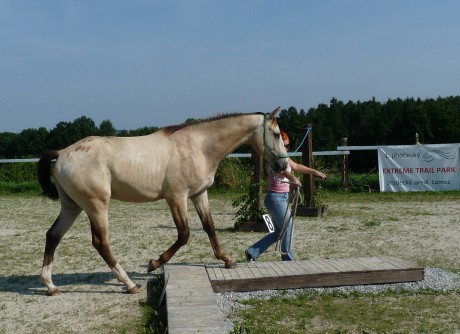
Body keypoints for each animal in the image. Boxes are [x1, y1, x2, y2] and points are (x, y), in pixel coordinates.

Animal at [36, 107, 288, 294]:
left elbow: (209, 227)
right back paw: (129, 284)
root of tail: (62, 153)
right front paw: (154, 263)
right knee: (100, 243)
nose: (284, 166)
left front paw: (226, 259)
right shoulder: (176, 197)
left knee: (53, 235)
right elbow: (184, 234)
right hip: (96, 206)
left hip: (72, 206)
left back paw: (50, 285)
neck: (199, 146)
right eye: (276, 134)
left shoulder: (199, 194)